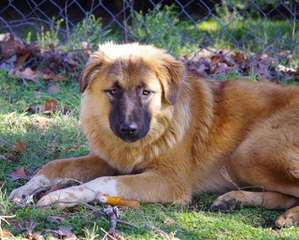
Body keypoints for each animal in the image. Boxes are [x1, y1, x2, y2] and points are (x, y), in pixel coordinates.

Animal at [8, 42, 299, 227]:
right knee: (284, 196)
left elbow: (104, 182)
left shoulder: (170, 182)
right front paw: (25, 189)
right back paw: (233, 201)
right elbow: (55, 165)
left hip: (248, 154)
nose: (129, 129)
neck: (159, 128)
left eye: (146, 92)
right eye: (113, 91)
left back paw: (286, 216)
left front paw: (62, 196)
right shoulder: (108, 159)